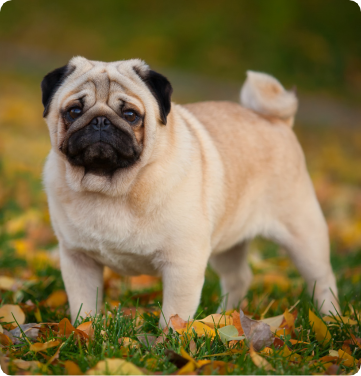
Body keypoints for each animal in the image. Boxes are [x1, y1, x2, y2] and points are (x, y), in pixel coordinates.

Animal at [40, 56, 338, 326]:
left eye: (130, 115)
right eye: (74, 111)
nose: (100, 121)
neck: (110, 188)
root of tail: (277, 121)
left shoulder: (182, 264)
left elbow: (174, 315)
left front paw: (167, 343)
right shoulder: (78, 259)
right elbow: (84, 305)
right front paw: (86, 333)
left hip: (304, 236)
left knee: (323, 279)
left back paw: (331, 319)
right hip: (229, 244)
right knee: (238, 278)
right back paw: (223, 318)